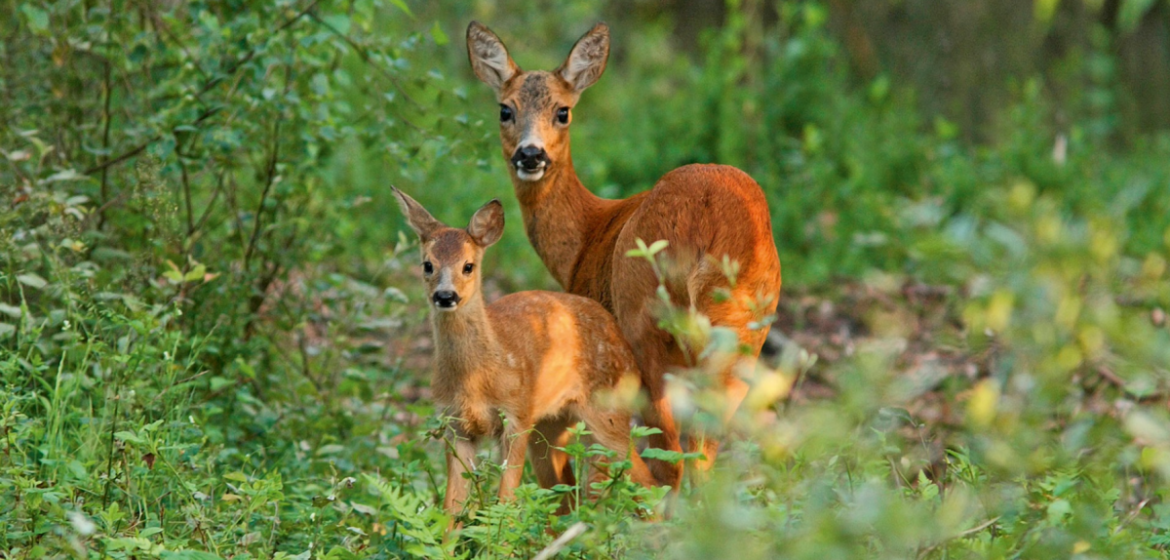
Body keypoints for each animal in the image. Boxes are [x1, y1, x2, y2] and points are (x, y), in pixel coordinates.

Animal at [390, 188, 659, 521]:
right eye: (427, 264)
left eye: (468, 265)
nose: (445, 296)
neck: (476, 377)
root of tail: (619, 334)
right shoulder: (454, 425)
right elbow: (452, 508)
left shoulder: (516, 415)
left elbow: (505, 500)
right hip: (550, 426)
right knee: (564, 495)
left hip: (608, 411)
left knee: (644, 480)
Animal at [460, 20, 781, 486]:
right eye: (505, 109)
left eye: (563, 111)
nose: (530, 154)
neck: (587, 237)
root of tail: (706, 225)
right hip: (746, 330)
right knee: (702, 458)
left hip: (644, 324)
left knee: (670, 460)